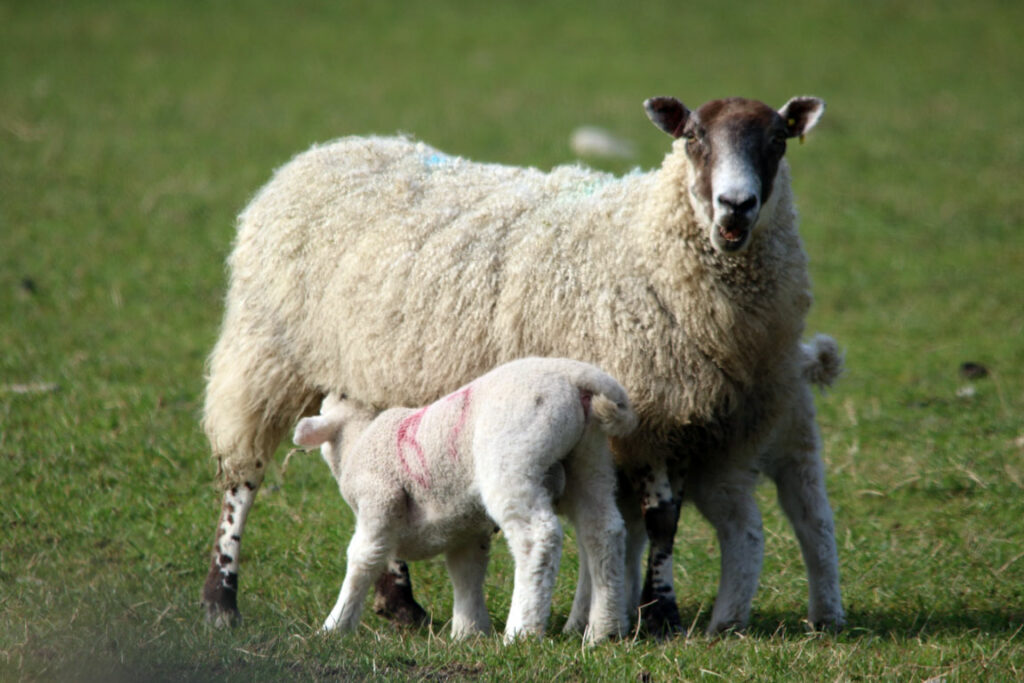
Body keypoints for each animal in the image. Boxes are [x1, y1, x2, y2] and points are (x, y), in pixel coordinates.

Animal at [292, 358, 634, 647]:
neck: (359, 438)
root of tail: (574, 375)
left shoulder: (379, 501)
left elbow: (363, 561)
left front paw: (334, 626)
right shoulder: (463, 528)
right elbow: (466, 572)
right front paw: (468, 633)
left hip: (513, 458)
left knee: (538, 538)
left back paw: (522, 631)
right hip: (590, 456)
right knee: (603, 530)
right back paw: (605, 629)